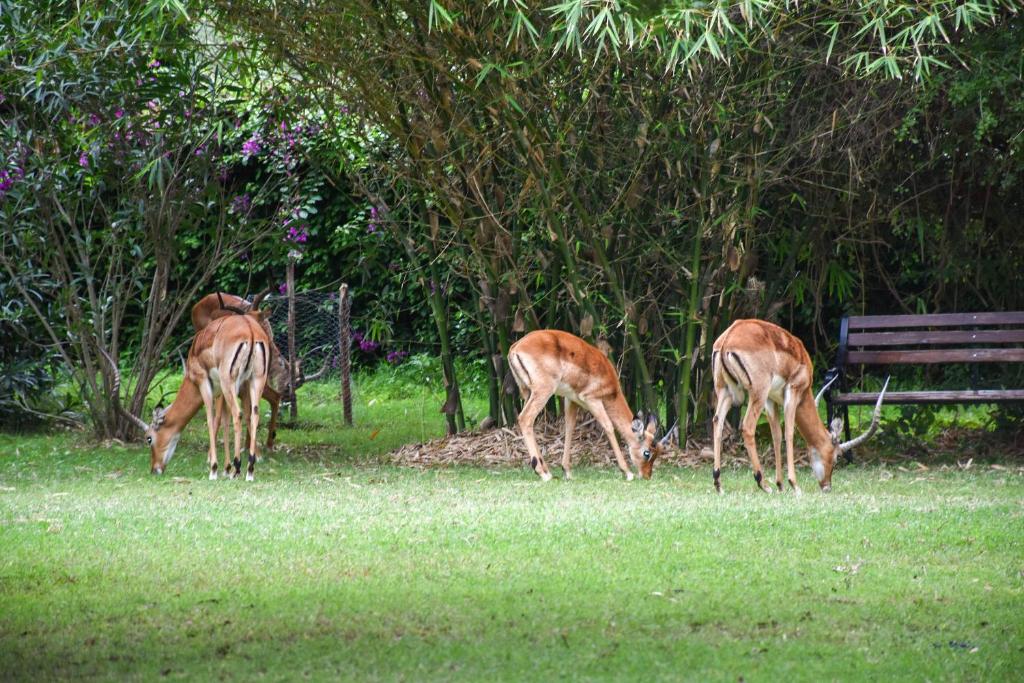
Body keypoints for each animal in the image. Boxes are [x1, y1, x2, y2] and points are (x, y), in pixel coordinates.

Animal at [105, 309, 270, 481]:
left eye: (149, 438)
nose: (155, 469)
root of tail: (249, 329)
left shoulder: (204, 383)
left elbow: (211, 421)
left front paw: (214, 469)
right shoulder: (222, 392)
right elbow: (224, 421)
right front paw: (226, 468)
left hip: (230, 382)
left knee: (237, 414)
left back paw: (237, 470)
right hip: (255, 380)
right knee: (253, 415)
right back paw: (249, 470)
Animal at [507, 329, 675, 481]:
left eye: (659, 452)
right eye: (647, 452)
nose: (646, 476)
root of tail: (515, 347)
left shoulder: (571, 399)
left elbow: (569, 427)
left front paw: (567, 471)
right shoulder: (592, 400)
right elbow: (608, 426)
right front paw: (627, 472)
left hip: (527, 392)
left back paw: (546, 470)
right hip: (544, 391)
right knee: (525, 418)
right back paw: (543, 473)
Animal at [712, 317, 888, 493]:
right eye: (836, 457)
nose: (827, 487)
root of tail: (728, 338)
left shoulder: (771, 400)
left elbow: (776, 435)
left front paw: (781, 485)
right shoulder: (793, 391)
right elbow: (789, 432)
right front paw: (794, 485)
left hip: (726, 392)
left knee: (717, 422)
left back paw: (718, 483)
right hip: (757, 393)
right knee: (747, 427)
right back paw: (764, 484)